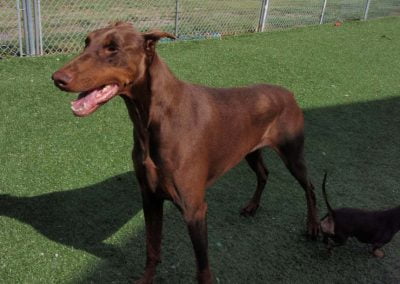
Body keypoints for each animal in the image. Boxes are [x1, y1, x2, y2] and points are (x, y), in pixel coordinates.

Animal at [51, 22, 318, 284]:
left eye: (113, 48)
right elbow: (152, 247)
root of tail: (289, 93)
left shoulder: (194, 210)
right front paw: (146, 278)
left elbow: (202, 269)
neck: (152, 120)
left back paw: (313, 226)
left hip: (292, 153)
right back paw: (252, 207)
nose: (57, 78)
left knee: (310, 186)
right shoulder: (150, 196)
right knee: (263, 173)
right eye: (87, 42)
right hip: (249, 150)